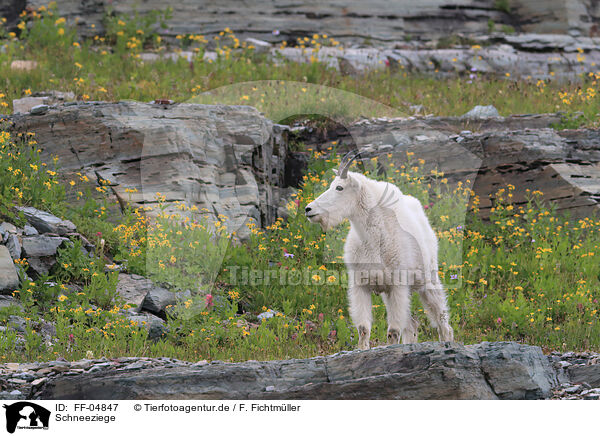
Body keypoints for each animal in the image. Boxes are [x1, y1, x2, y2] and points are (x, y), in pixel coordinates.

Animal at [308, 152, 452, 350]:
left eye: (339, 187)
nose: (308, 209)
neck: (373, 241)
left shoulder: (398, 285)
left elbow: (393, 331)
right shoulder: (361, 285)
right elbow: (363, 328)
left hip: (428, 278)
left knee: (441, 318)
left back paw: (448, 341)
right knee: (411, 325)